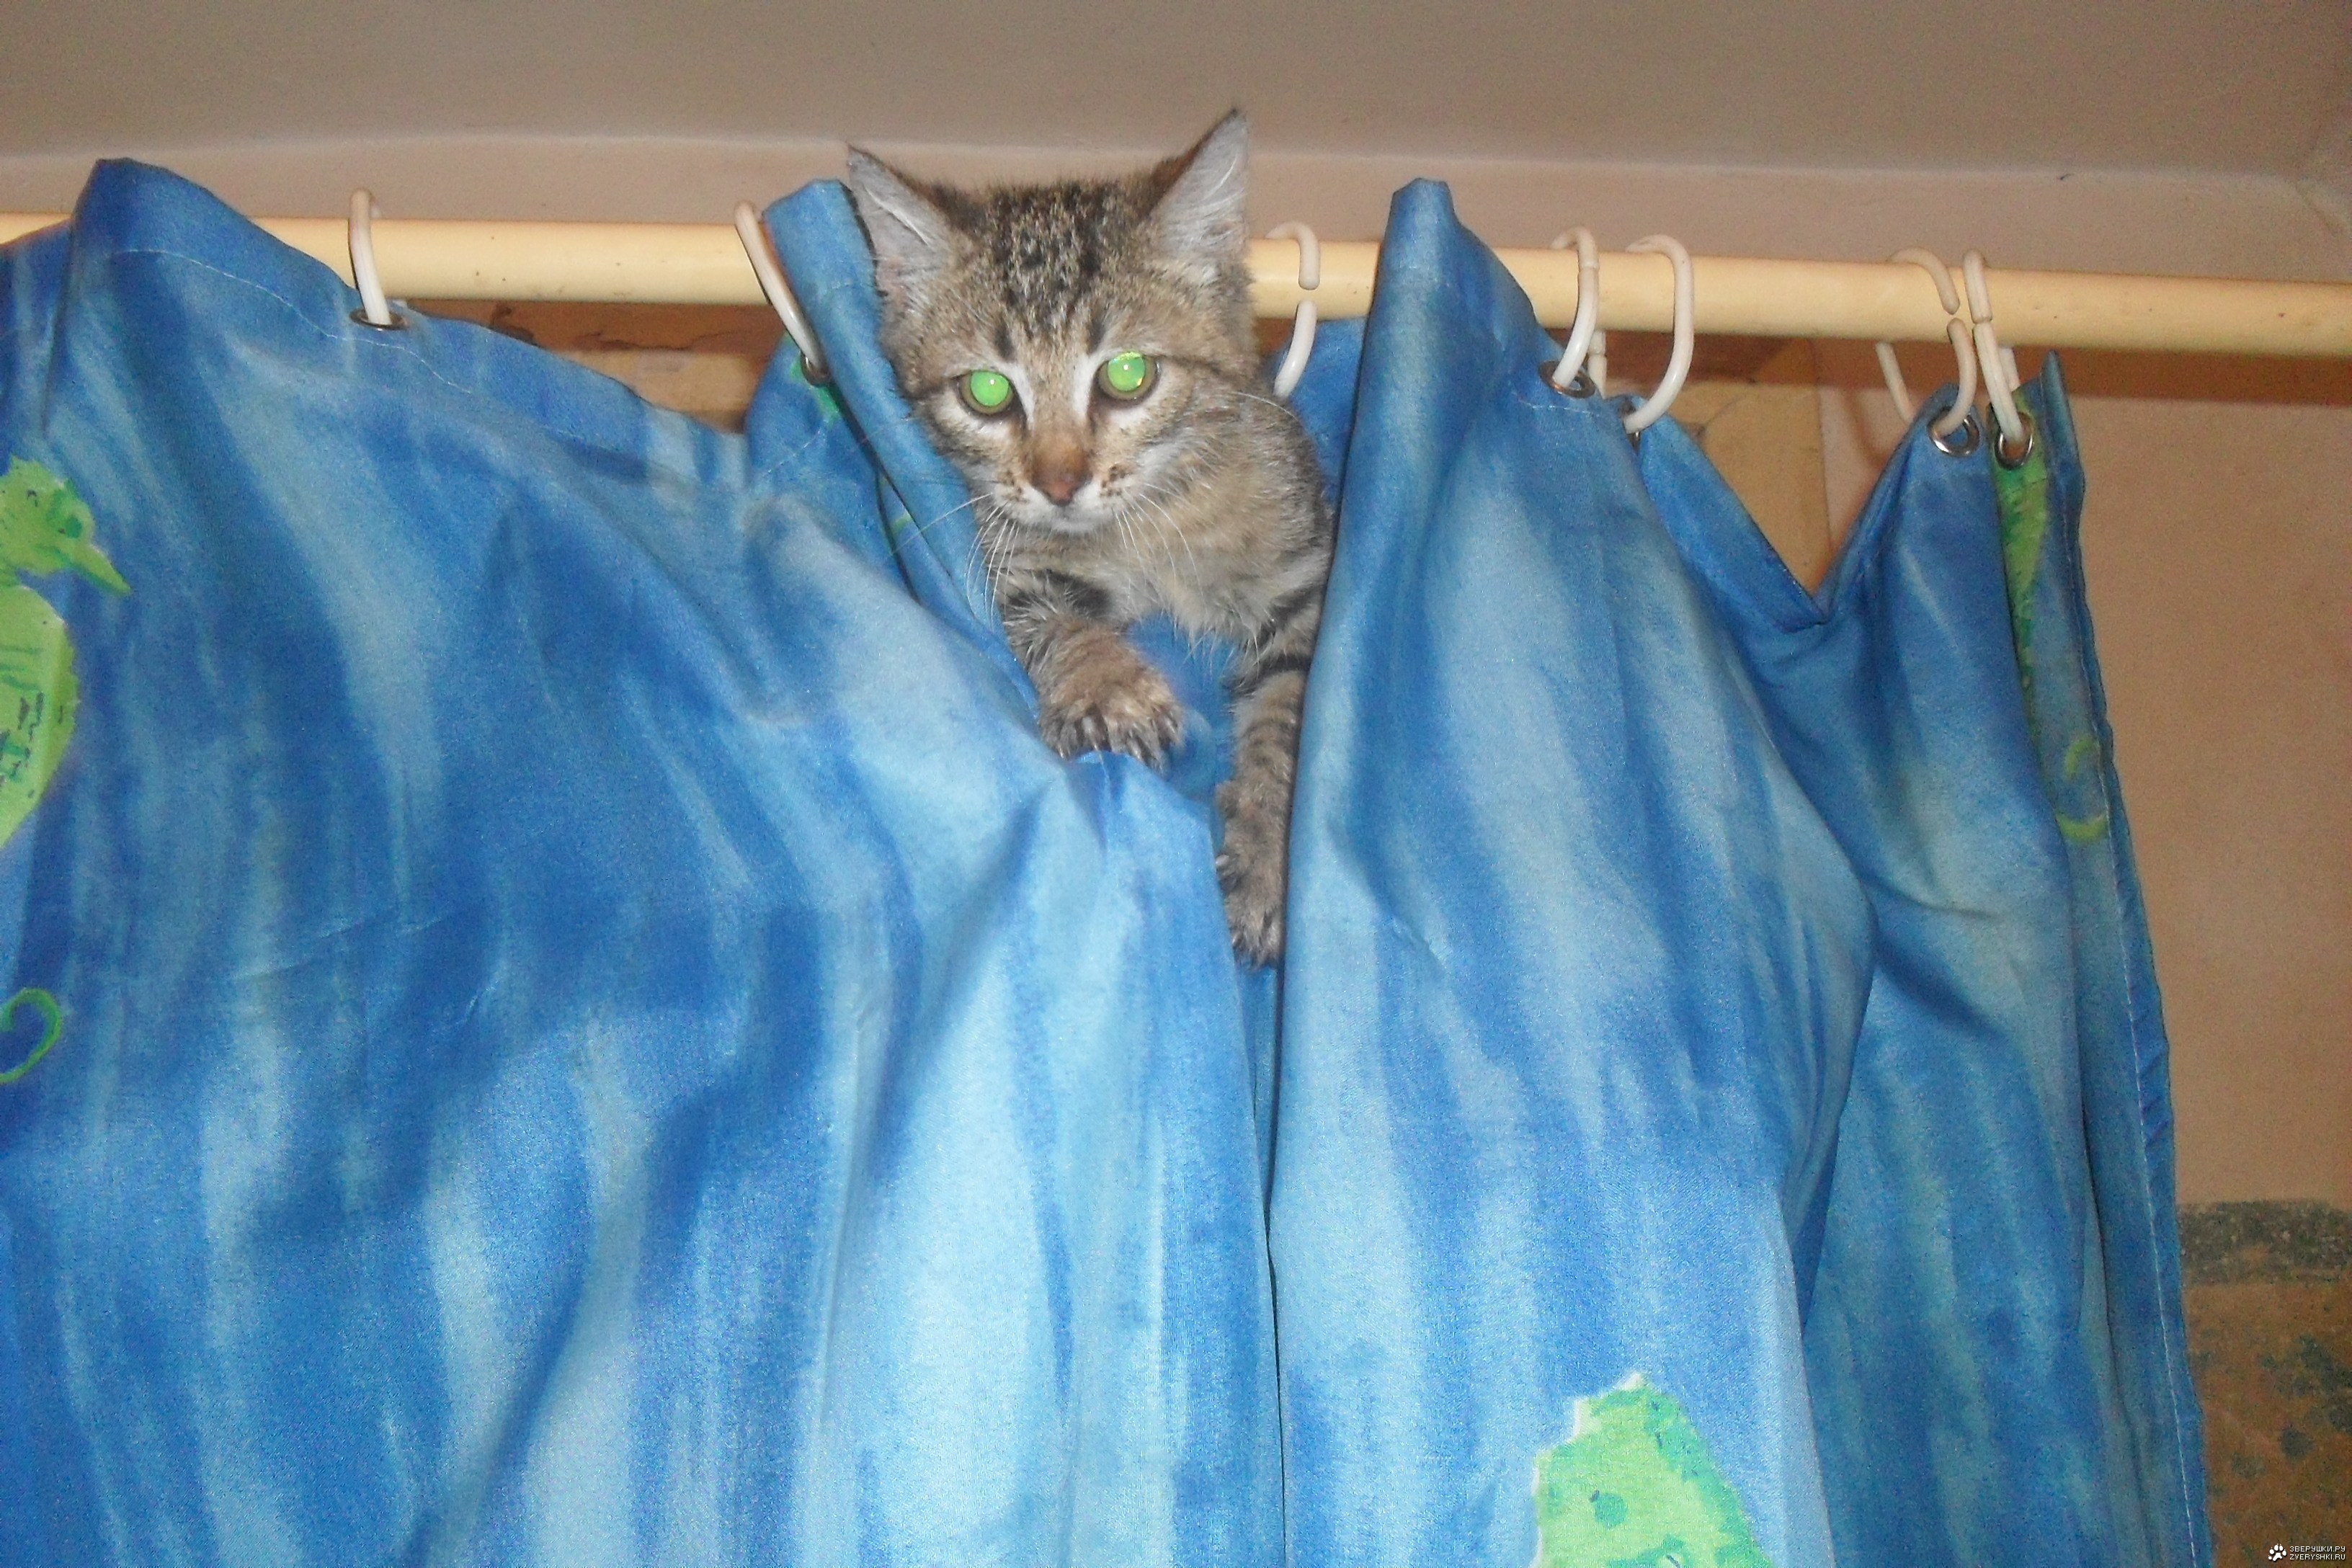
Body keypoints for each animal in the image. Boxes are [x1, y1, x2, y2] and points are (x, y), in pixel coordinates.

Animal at [843, 112, 1332, 965]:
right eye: (988, 390)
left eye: (1128, 374)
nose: (1059, 483)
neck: (1146, 523)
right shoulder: (1019, 563)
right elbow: (1057, 620)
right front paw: (1109, 688)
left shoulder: (1302, 567)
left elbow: (1287, 715)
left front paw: (1271, 857)